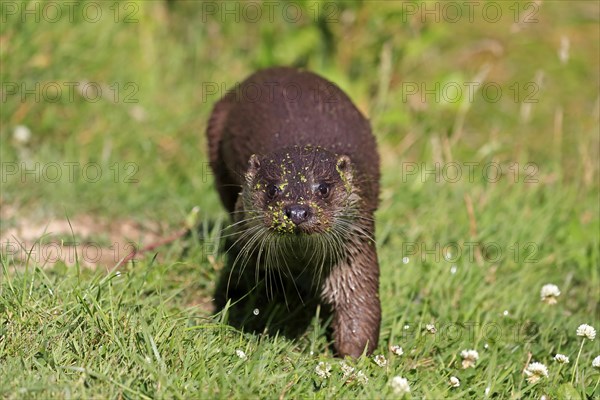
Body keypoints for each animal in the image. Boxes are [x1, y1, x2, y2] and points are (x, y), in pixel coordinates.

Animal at [206, 67, 380, 358]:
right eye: (273, 189)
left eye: (323, 188)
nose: (297, 211)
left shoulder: (355, 248)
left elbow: (359, 298)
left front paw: (353, 357)